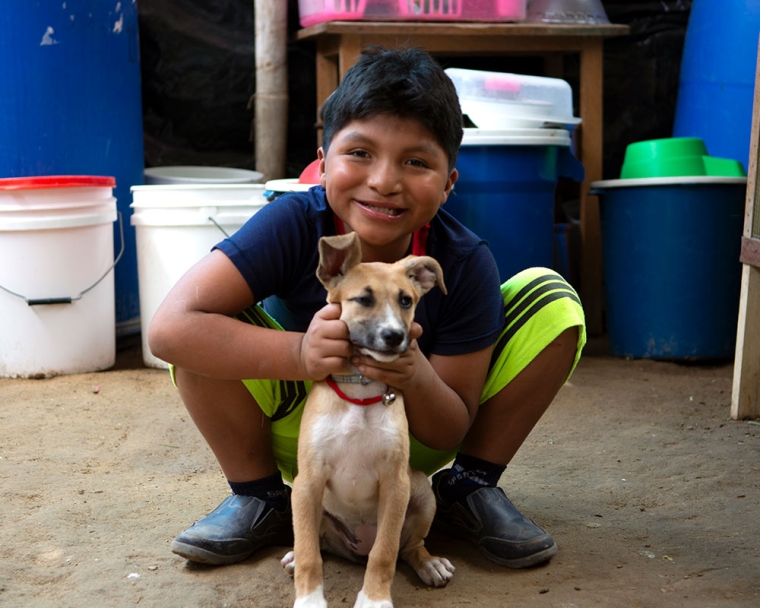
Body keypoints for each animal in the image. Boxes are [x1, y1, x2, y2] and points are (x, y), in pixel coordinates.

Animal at [282, 233, 454, 608]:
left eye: (406, 300)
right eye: (363, 299)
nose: (394, 336)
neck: (360, 393)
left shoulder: (395, 484)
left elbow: (385, 553)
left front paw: (374, 599)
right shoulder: (307, 482)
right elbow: (309, 553)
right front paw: (309, 599)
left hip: (422, 493)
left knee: (409, 547)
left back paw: (430, 563)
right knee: (315, 542)